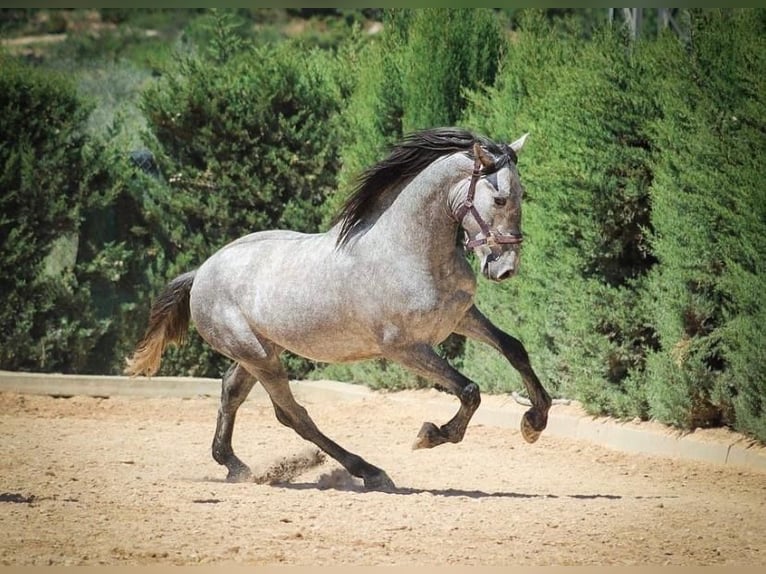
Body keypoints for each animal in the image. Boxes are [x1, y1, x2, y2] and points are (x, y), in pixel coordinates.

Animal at [129, 128, 556, 492]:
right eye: (499, 199)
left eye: (523, 194)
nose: (505, 268)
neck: (407, 250)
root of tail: (203, 271)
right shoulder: (404, 348)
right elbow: (469, 390)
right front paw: (431, 435)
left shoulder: (461, 318)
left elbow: (514, 348)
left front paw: (534, 422)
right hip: (259, 356)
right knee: (293, 414)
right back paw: (370, 471)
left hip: (260, 352)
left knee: (231, 393)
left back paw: (235, 466)